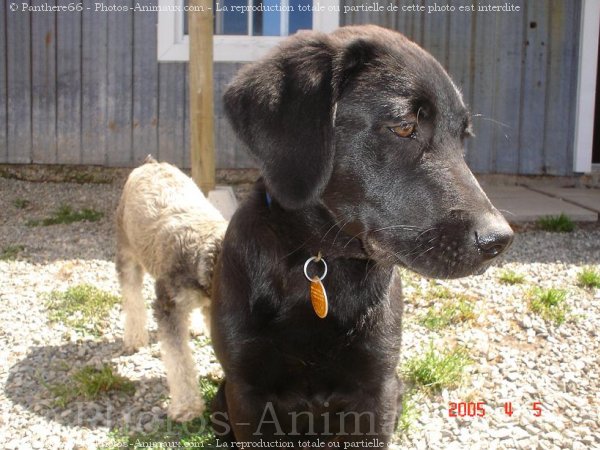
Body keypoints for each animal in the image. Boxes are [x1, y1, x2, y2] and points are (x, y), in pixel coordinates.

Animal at [210, 26, 510, 448]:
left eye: (462, 137)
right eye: (404, 126)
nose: (499, 241)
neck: (321, 262)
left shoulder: (376, 389)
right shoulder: (247, 390)